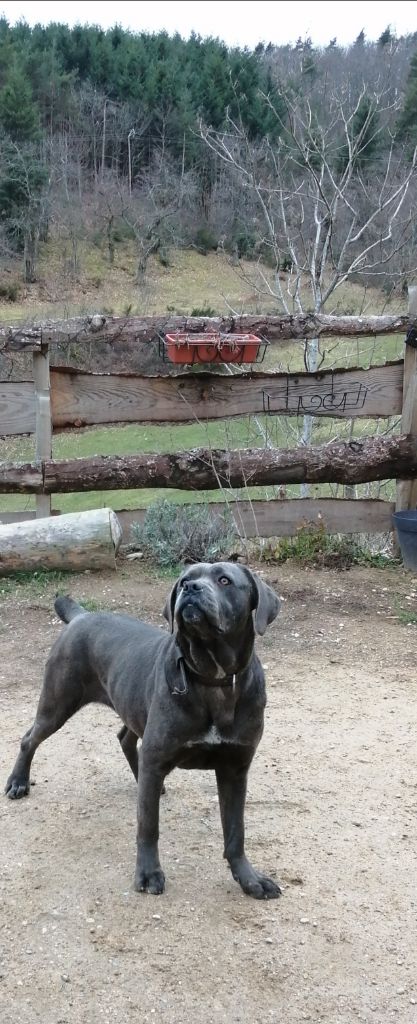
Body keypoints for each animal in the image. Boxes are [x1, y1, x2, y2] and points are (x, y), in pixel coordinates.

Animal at [4, 565, 280, 901]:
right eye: (185, 578)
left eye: (224, 580)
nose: (190, 588)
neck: (212, 679)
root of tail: (82, 615)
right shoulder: (159, 754)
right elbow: (148, 825)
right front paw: (148, 874)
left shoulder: (235, 768)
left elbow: (236, 831)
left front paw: (250, 879)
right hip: (57, 703)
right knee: (29, 738)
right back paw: (18, 782)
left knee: (126, 740)